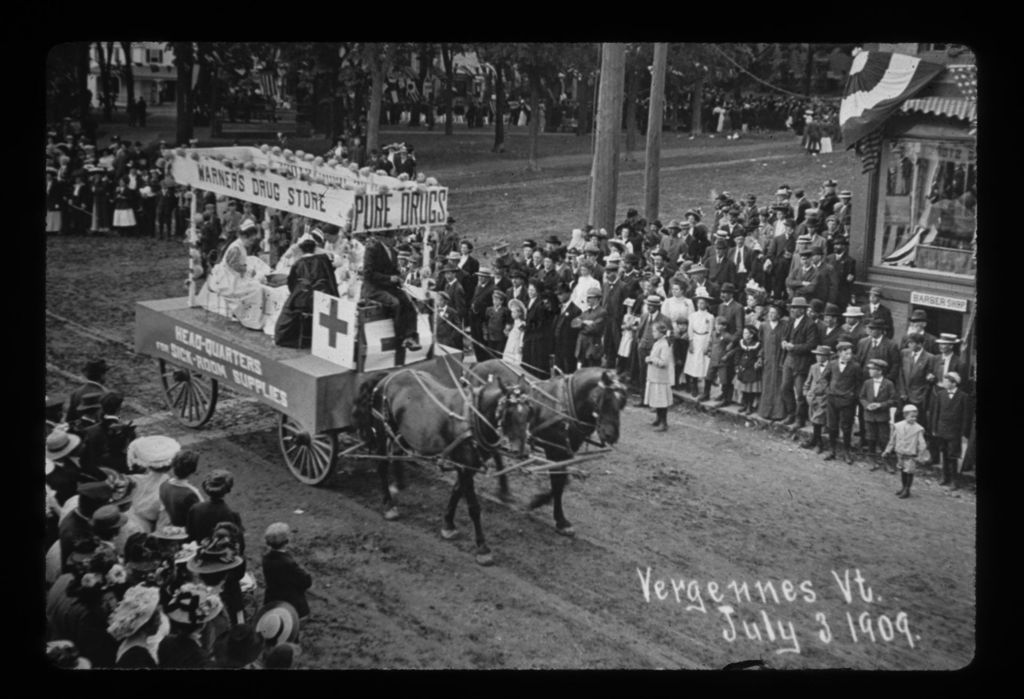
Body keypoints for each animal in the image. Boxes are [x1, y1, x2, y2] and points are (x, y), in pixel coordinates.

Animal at [354, 368, 532, 564]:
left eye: (528, 412)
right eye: (508, 413)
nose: (521, 451)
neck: (472, 418)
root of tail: (387, 375)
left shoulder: (468, 466)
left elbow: (456, 491)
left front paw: (448, 525)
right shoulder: (465, 466)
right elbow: (473, 507)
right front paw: (482, 548)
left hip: (403, 432)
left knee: (397, 453)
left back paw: (399, 485)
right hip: (382, 428)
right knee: (382, 465)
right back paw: (388, 505)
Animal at [468, 360, 626, 536]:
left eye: (622, 402)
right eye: (604, 398)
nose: (611, 435)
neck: (566, 403)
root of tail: (478, 364)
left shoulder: (566, 451)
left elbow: (563, 481)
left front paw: (540, 502)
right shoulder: (554, 451)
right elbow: (558, 483)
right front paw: (560, 519)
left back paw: (504, 490)